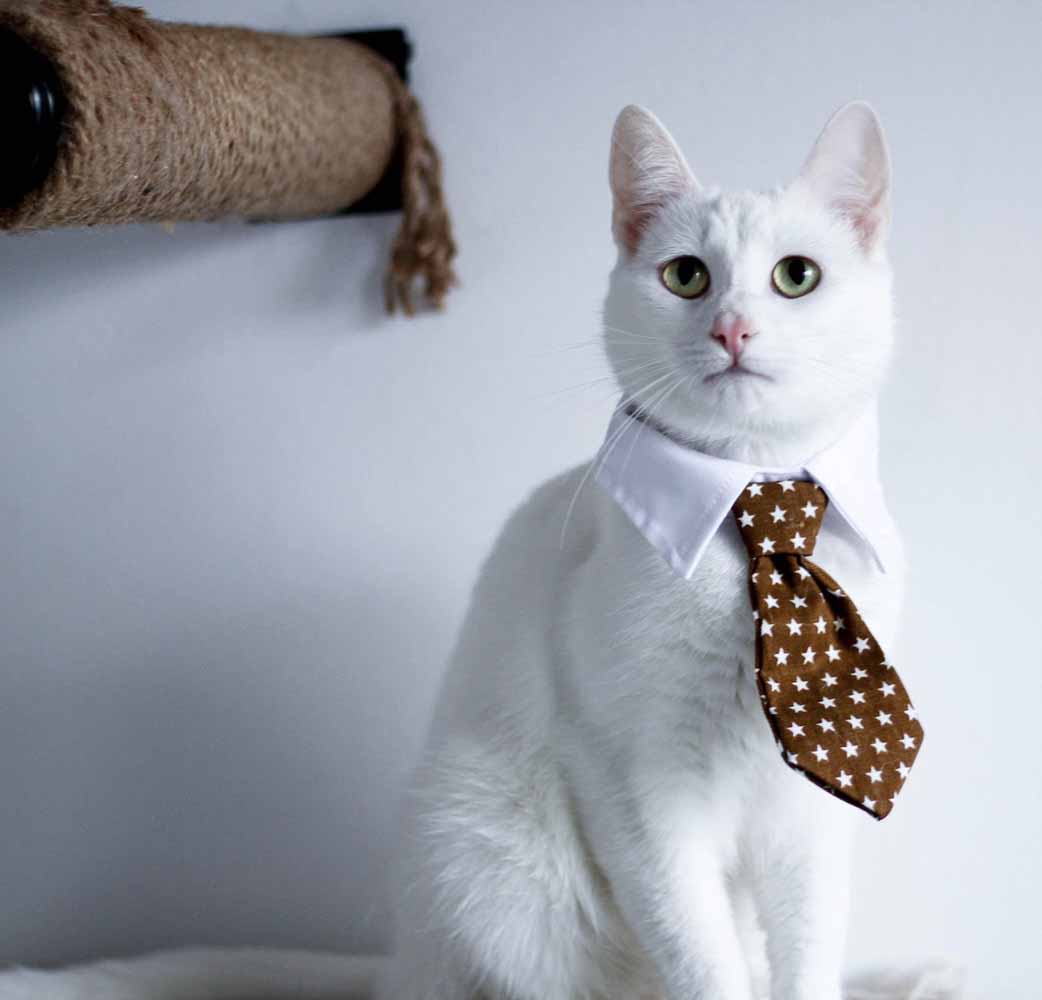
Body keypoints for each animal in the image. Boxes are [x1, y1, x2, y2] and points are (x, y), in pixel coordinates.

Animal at [0, 101, 958, 999]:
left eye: (796, 277)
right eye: (687, 276)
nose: (732, 329)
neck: (757, 508)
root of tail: (399, 968)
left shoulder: (809, 822)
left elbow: (804, 958)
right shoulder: (636, 785)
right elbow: (704, 960)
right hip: (484, 842)